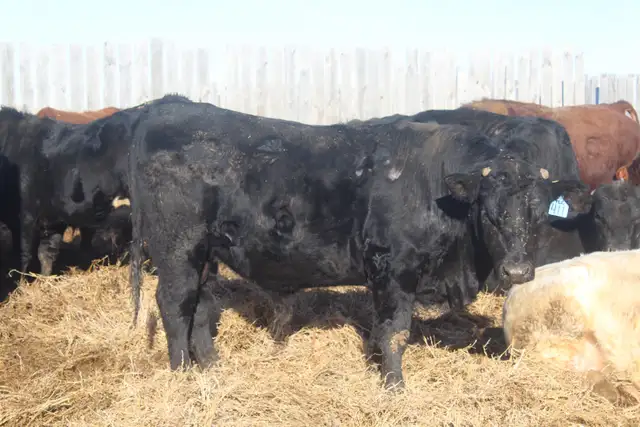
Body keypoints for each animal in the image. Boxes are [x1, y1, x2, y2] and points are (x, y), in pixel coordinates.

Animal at [121, 100, 591, 389]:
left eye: (539, 213)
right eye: (489, 212)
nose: (517, 272)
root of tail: (168, 106)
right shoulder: (393, 268)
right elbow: (395, 332)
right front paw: (395, 387)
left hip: (204, 253)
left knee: (200, 306)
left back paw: (210, 368)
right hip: (178, 247)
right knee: (174, 303)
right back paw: (183, 372)